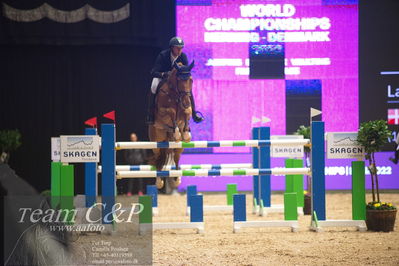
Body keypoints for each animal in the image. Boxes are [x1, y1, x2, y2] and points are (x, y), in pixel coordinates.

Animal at [148, 60, 195, 189]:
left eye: (191, 80)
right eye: (179, 80)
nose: (186, 101)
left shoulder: (186, 109)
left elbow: (187, 112)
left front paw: (185, 134)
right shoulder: (162, 112)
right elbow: (171, 111)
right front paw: (178, 133)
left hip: (179, 146)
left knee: (176, 157)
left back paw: (177, 178)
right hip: (156, 141)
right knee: (158, 158)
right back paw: (159, 181)